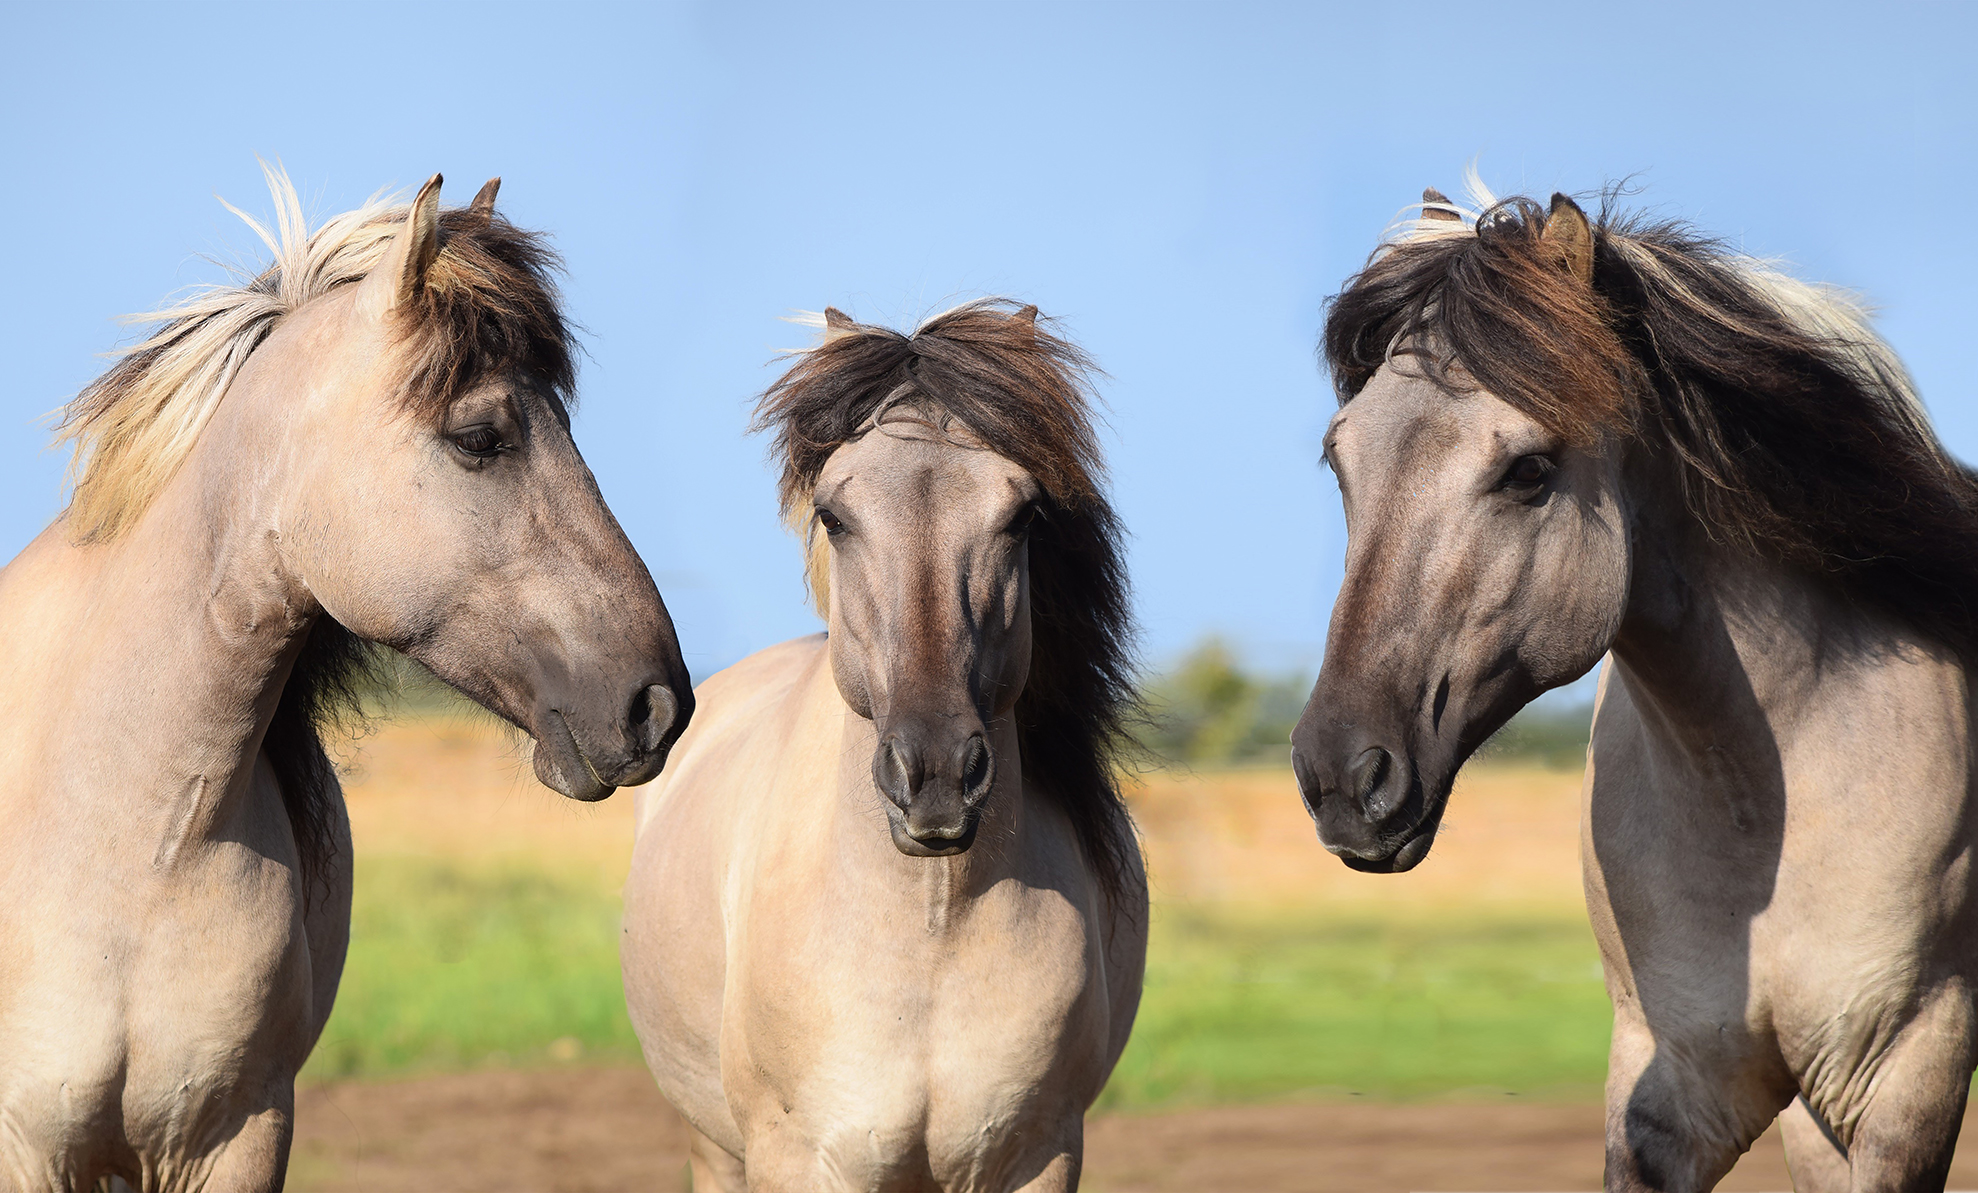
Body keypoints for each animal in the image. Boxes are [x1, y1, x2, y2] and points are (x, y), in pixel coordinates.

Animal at [625, 300, 1155, 1193]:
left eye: (1023, 515)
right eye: (835, 516)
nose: (934, 775)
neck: (929, 932)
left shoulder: (1041, 1155)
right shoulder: (796, 1159)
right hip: (714, 1148)